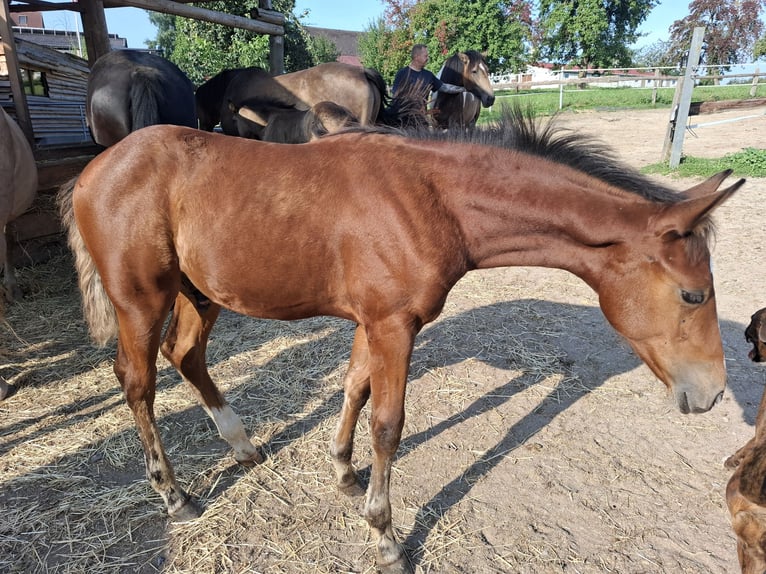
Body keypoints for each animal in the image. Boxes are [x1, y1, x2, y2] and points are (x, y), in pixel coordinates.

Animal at [58, 107, 743, 574]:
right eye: (693, 295)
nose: (710, 394)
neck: (430, 198)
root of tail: (92, 170)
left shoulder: (375, 323)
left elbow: (354, 391)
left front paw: (343, 474)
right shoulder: (392, 325)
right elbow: (388, 423)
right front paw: (384, 536)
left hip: (199, 295)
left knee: (186, 356)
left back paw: (243, 445)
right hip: (140, 302)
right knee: (139, 383)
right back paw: (175, 496)